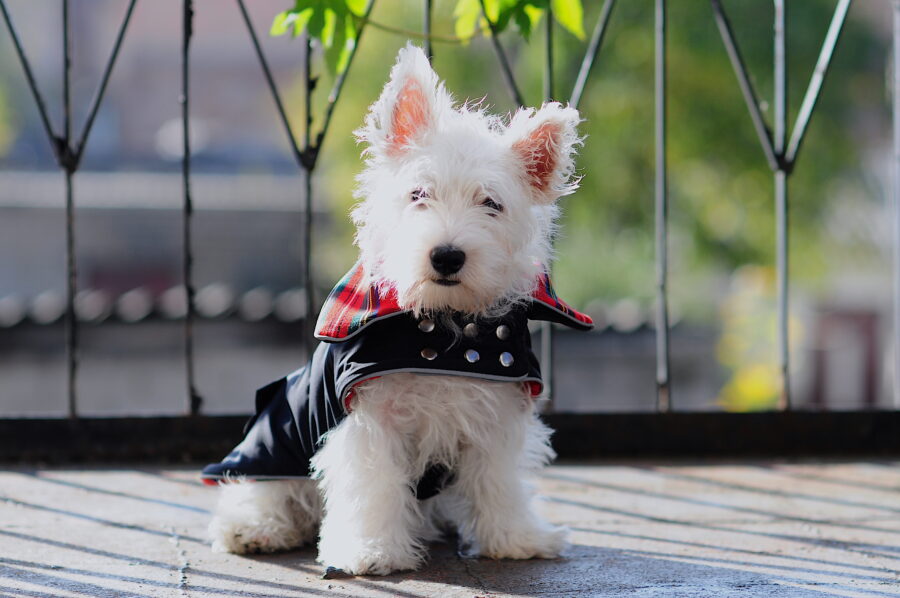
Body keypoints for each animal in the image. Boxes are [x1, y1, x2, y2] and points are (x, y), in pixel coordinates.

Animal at [202, 44, 592, 580]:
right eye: (418, 194)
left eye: (491, 204)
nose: (446, 256)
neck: (447, 333)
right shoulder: (368, 419)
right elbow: (374, 486)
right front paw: (372, 551)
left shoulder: (498, 415)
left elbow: (498, 480)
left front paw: (513, 538)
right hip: (275, 438)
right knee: (265, 490)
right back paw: (255, 528)